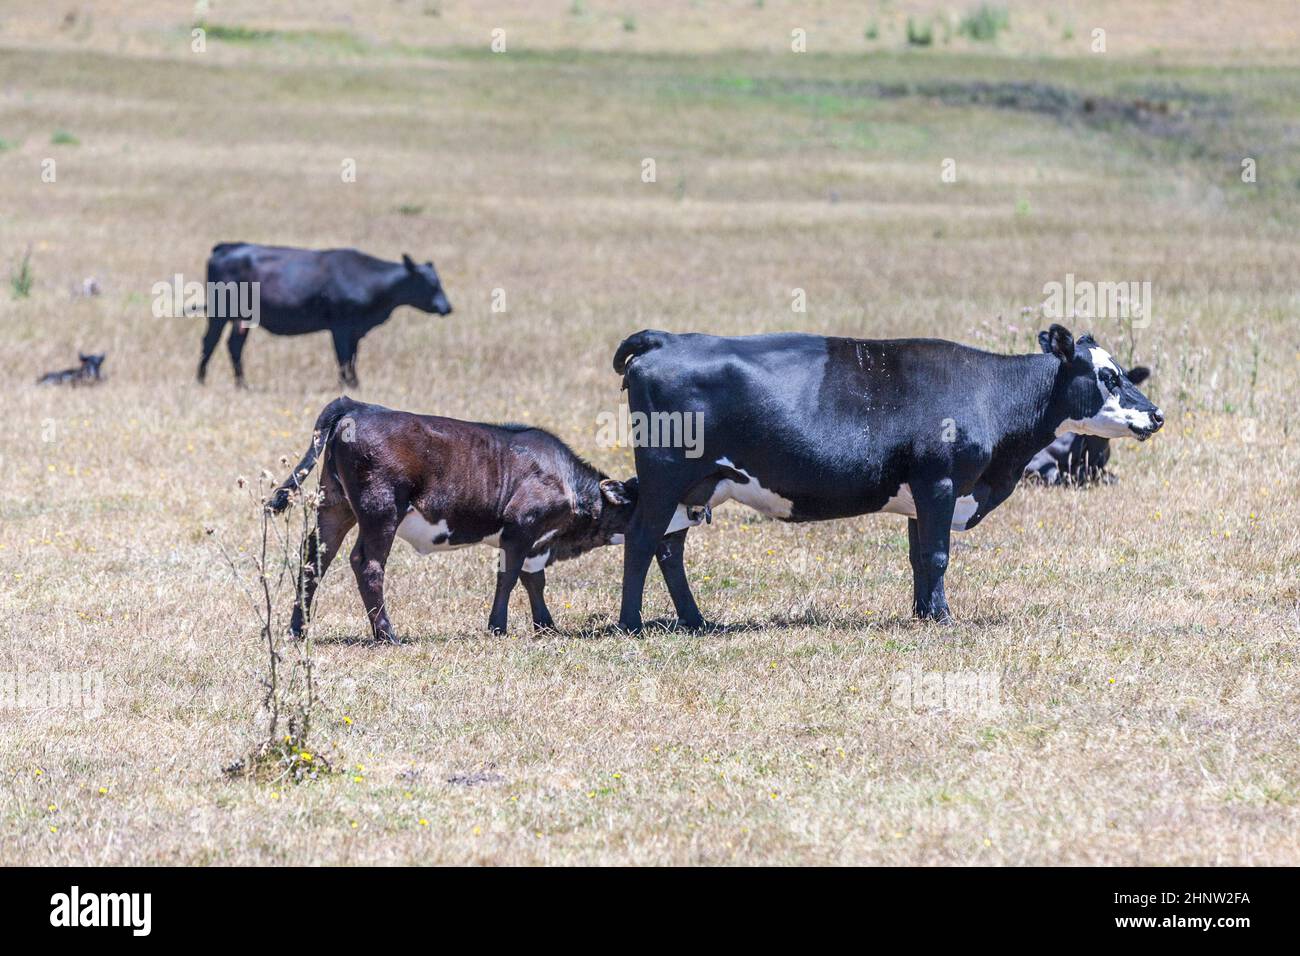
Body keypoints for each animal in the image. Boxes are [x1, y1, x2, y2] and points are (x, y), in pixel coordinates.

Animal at [198, 243, 453, 388]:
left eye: (439, 281)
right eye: (430, 283)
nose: (447, 307)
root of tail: (225, 248)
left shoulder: (355, 331)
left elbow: (352, 357)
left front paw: (353, 384)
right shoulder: (340, 328)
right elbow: (343, 358)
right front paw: (347, 385)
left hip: (242, 319)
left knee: (234, 345)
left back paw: (242, 384)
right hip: (220, 314)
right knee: (210, 342)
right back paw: (201, 380)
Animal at [267, 397, 638, 642]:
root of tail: (358, 407)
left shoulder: (537, 542)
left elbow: (533, 580)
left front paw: (546, 626)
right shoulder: (520, 528)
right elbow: (508, 576)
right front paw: (497, 628)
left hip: (334, 505)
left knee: (315, 557)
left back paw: (298, 630)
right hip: (380, 510)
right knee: (367, 563)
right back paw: (387, 634)